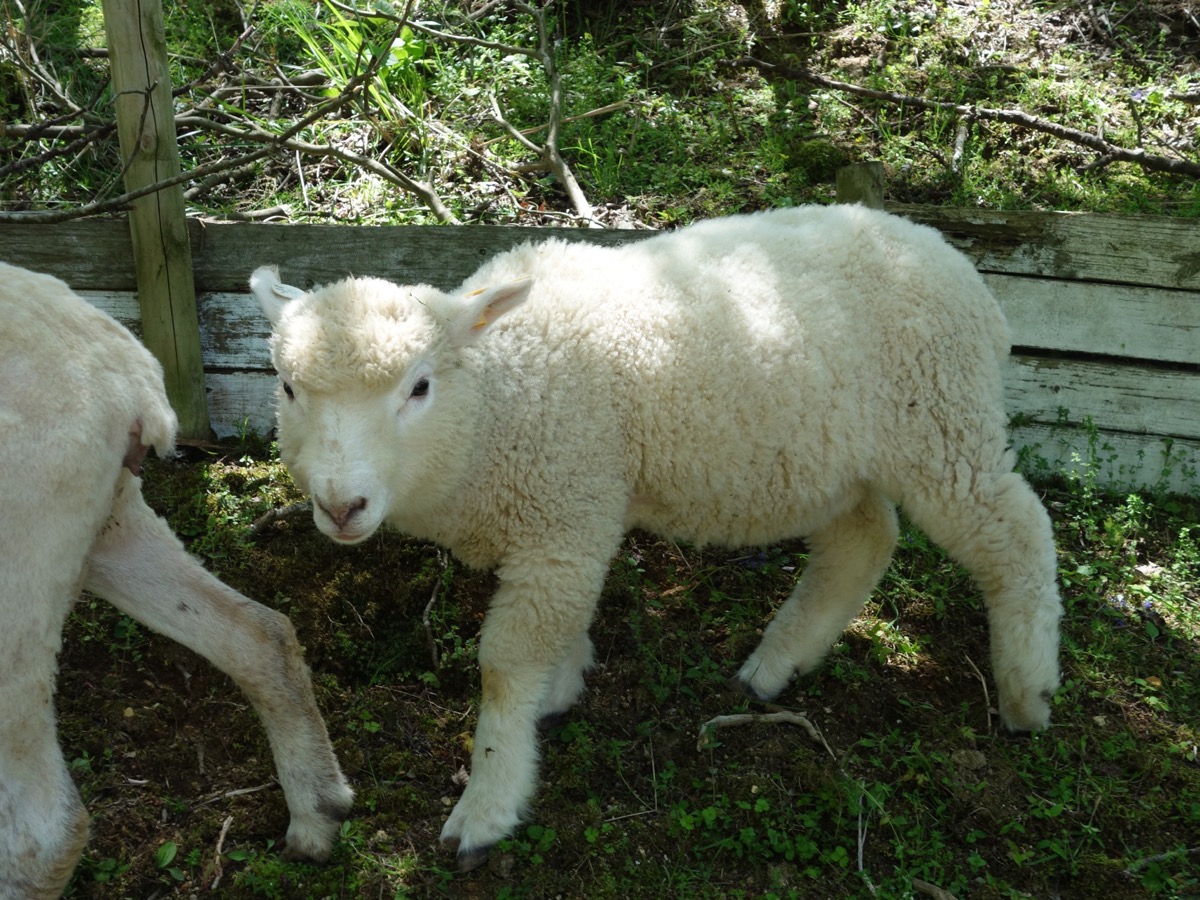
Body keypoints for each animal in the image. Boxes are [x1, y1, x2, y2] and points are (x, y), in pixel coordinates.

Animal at [1, 262, 350, 900]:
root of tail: (127, 380)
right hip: (101, 519)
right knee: (260, 633)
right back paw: (319, 817)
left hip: (23, 546)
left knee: (47, 831)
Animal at [250, 202, 1060, 868]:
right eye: (287, 388)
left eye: (419, 387)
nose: (341, 506)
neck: (501, 395)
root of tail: (952, 261)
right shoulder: (570, 517)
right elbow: (560, 627)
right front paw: (563, 685)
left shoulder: (566, 508)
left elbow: (506, 664)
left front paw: (488, 803)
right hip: (827, 460)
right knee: (865, 537)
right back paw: (778, 665)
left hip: (943, 424)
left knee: (1017, 532)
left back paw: (1027, 692)